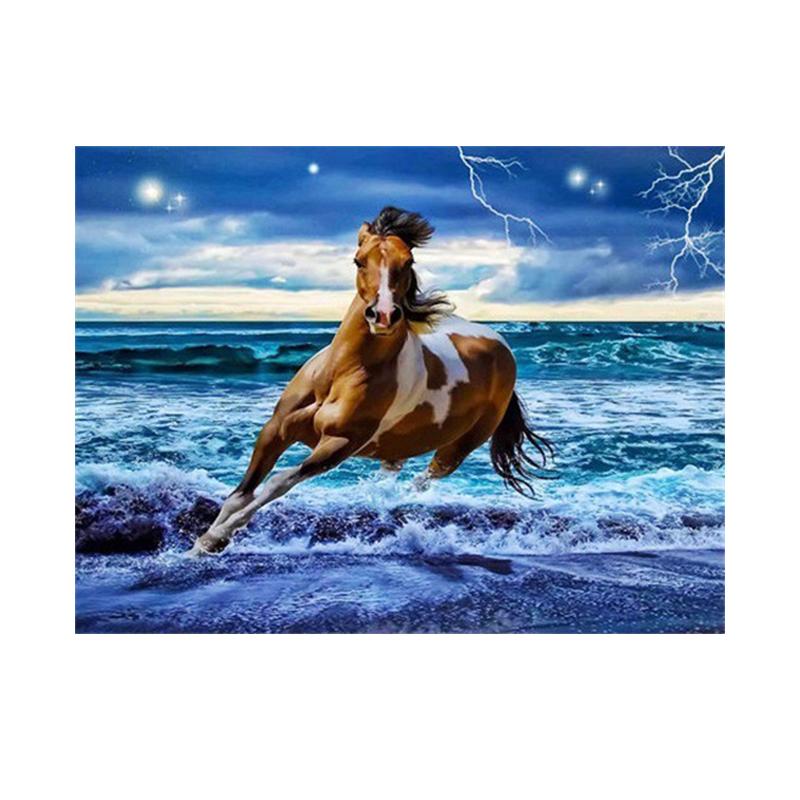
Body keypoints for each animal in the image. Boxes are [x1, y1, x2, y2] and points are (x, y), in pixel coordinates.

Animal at [191, 206, 553, 554]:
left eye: (408, 262)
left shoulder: (339, 444)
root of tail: (502, 347)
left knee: (424, 478)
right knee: (395, 468)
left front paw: (214, 540)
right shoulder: (276, 429)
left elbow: (278, 481)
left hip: (458, 447)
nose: (383, 315)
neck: (339, 374)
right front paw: (198, 544)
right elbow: (241, 494)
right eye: (358, 260)